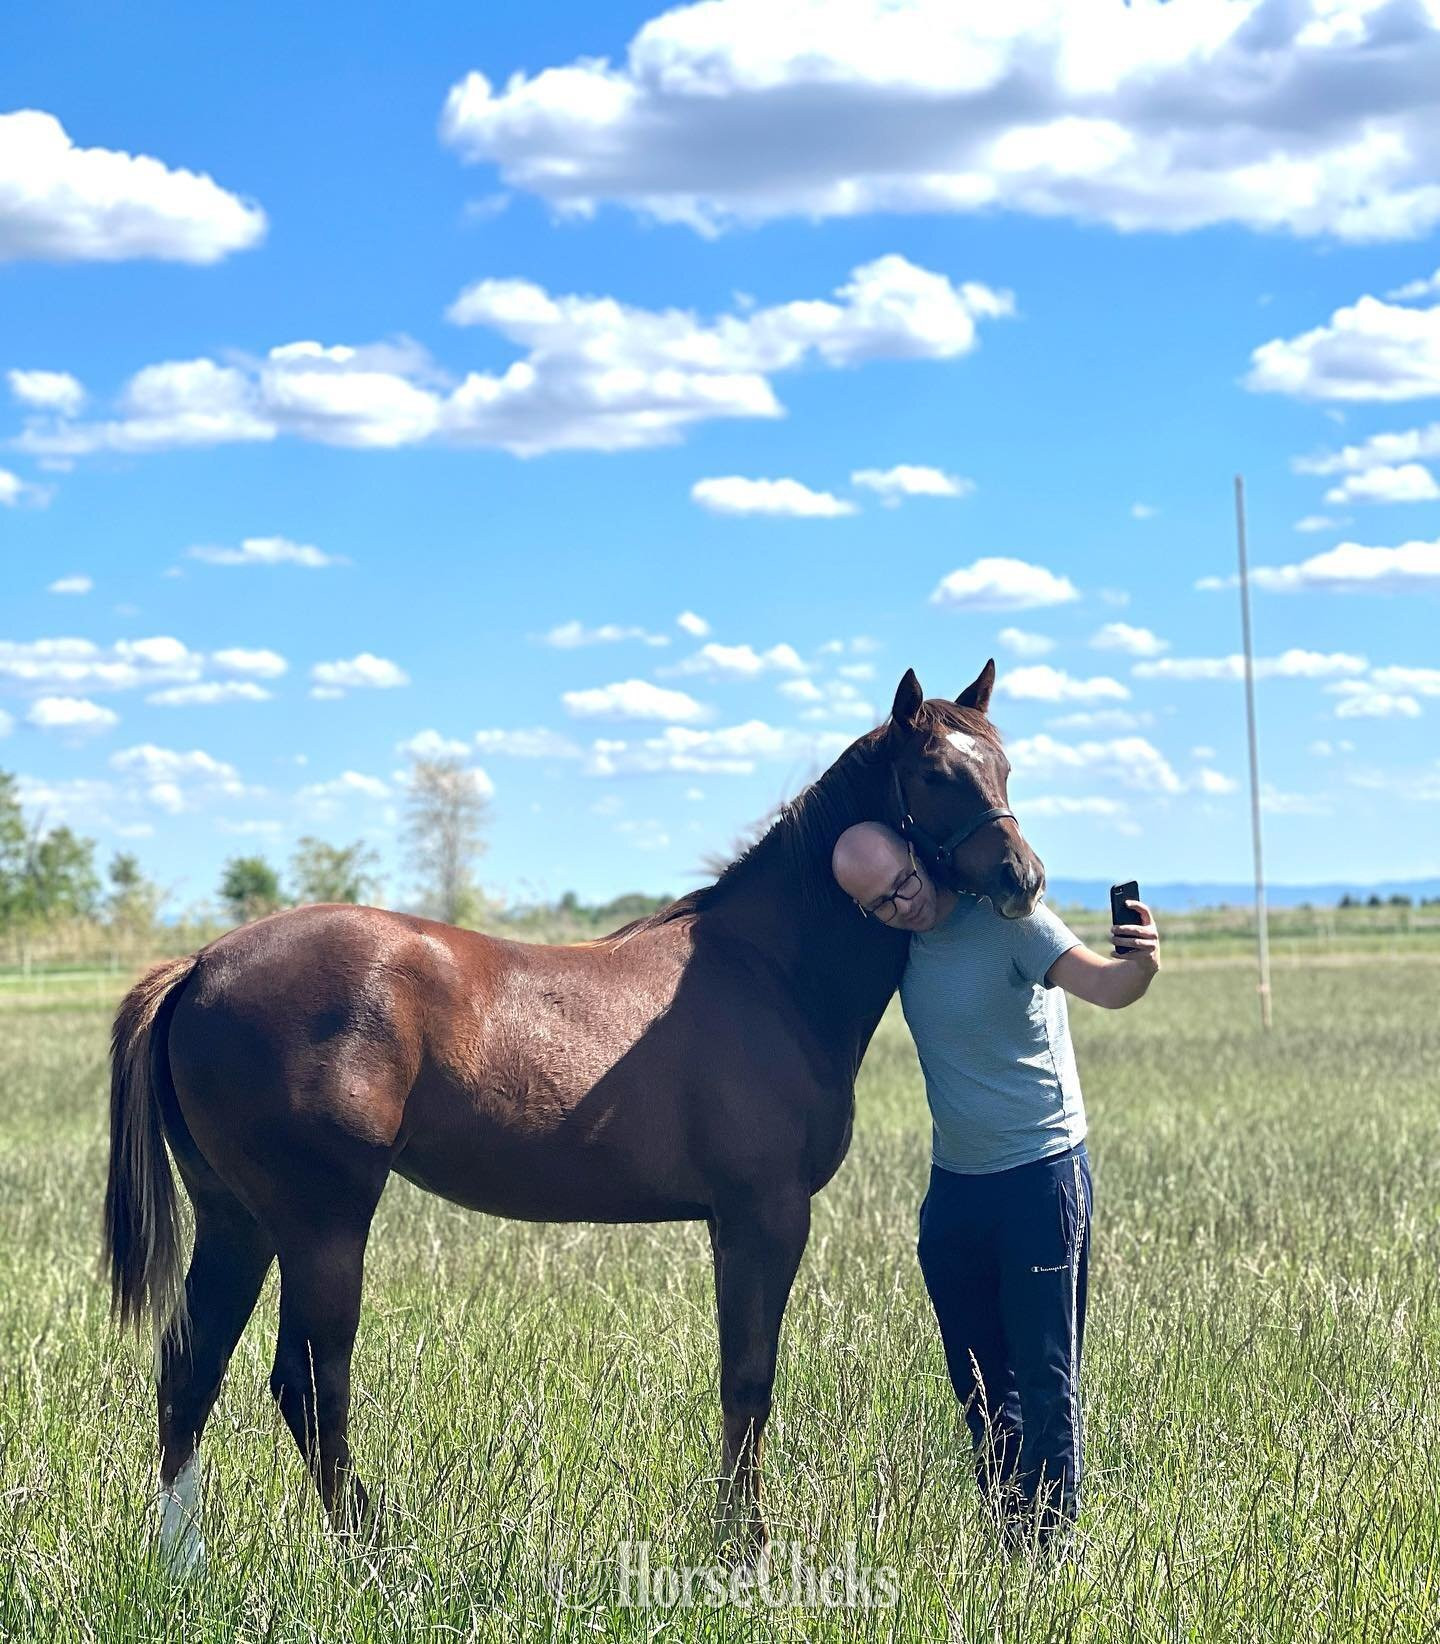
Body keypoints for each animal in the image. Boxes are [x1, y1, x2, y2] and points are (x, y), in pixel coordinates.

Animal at [103, 661, 1044, 1568]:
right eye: (936, 772)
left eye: (1003, 765)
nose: (1024, 880)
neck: (770, 970)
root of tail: (201, 965)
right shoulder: (764, 1214)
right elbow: (749, 1378)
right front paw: (746, 1548)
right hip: (321, 1224)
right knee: (308, 1384)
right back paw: (373, 1556)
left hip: (238, 1219)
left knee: (191, 1368)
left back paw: (181, 1561)